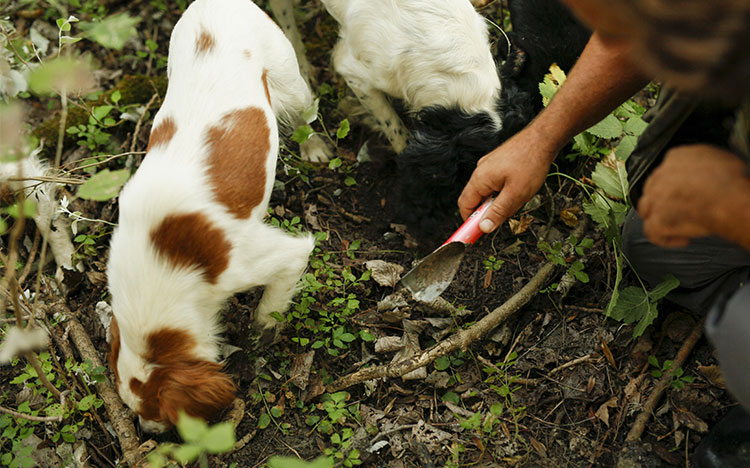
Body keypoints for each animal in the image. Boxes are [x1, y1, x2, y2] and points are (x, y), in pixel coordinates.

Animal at [108, 0, 326, 434]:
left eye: (159, 413)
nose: (145, 432)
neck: (162, 262)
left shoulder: (269, 258)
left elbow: (271, 306)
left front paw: (262, 332)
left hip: (289, 79)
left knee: (305, 114)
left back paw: (315, 148)